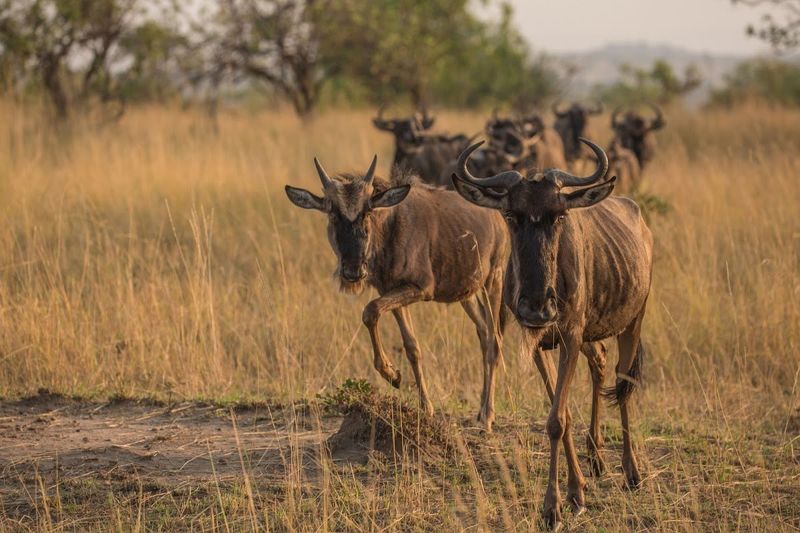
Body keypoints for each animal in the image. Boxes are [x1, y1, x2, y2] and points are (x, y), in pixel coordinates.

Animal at [285, 156, 510, 430]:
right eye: (332, 214)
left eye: (367, 211)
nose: (353, 271)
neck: (390, 227)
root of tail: (497, 216)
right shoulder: (393, 291)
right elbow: (411, 346)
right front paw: (422, 403)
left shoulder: (419, 288)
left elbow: (369, 310)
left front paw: (392, 375)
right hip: (467, 294)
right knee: (484, 334)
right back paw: (480, 410)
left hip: (493, 281)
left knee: (495, 340)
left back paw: (488, 416)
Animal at [452, 138, 653, 529]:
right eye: (511, 215)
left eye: (559, 216)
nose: (537, 308)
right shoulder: (539, 344)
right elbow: (561, 414)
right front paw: (575, 491)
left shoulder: (570, 338)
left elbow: (557, 420)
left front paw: (553, 508)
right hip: (593, 336)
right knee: (600, 365)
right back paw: (596, 457)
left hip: (632, 323)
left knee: (623, 385)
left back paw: (632, 472)